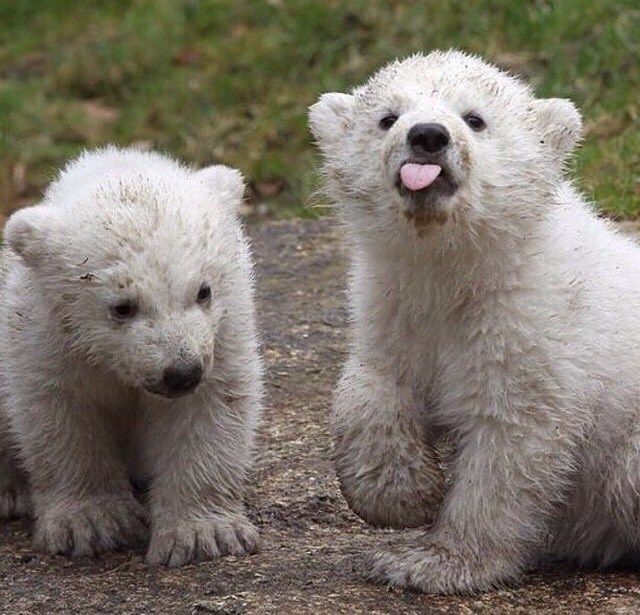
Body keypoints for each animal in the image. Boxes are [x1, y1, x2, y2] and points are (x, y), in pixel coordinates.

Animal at [0, 147, 263, 566]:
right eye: (122, 307)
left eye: (204, 291)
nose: (182, 372)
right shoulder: (49, 338)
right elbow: (62, 417)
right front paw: (93, 524)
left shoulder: (224, 331)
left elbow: (211, 409)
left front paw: (204, 534)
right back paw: (11, 493)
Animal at [309, 50, 640, 593]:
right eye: (387, 118)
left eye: (475, 118)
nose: (427, 136)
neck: (463, 268)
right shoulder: (392, 301)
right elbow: (374, 380)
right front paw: (403, 496)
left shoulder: (532, 328)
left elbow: (509, 442)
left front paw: (433, 562)